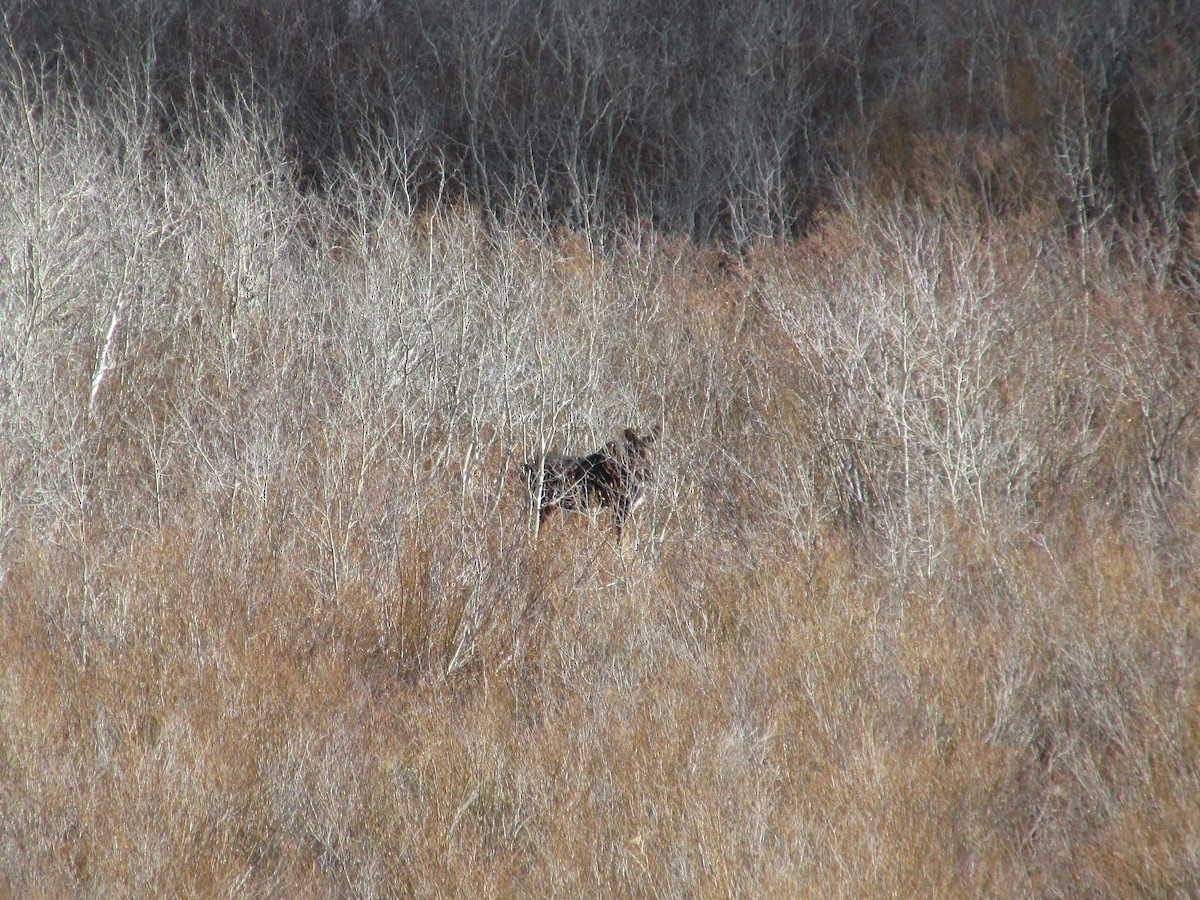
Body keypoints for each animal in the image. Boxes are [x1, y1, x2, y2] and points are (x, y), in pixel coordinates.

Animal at [523, 427, 660, 542]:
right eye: (636, 452)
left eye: (651, 451)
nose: (650, 472)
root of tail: (525, 466)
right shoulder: (622, 504)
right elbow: (620, 535)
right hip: (542, 501)